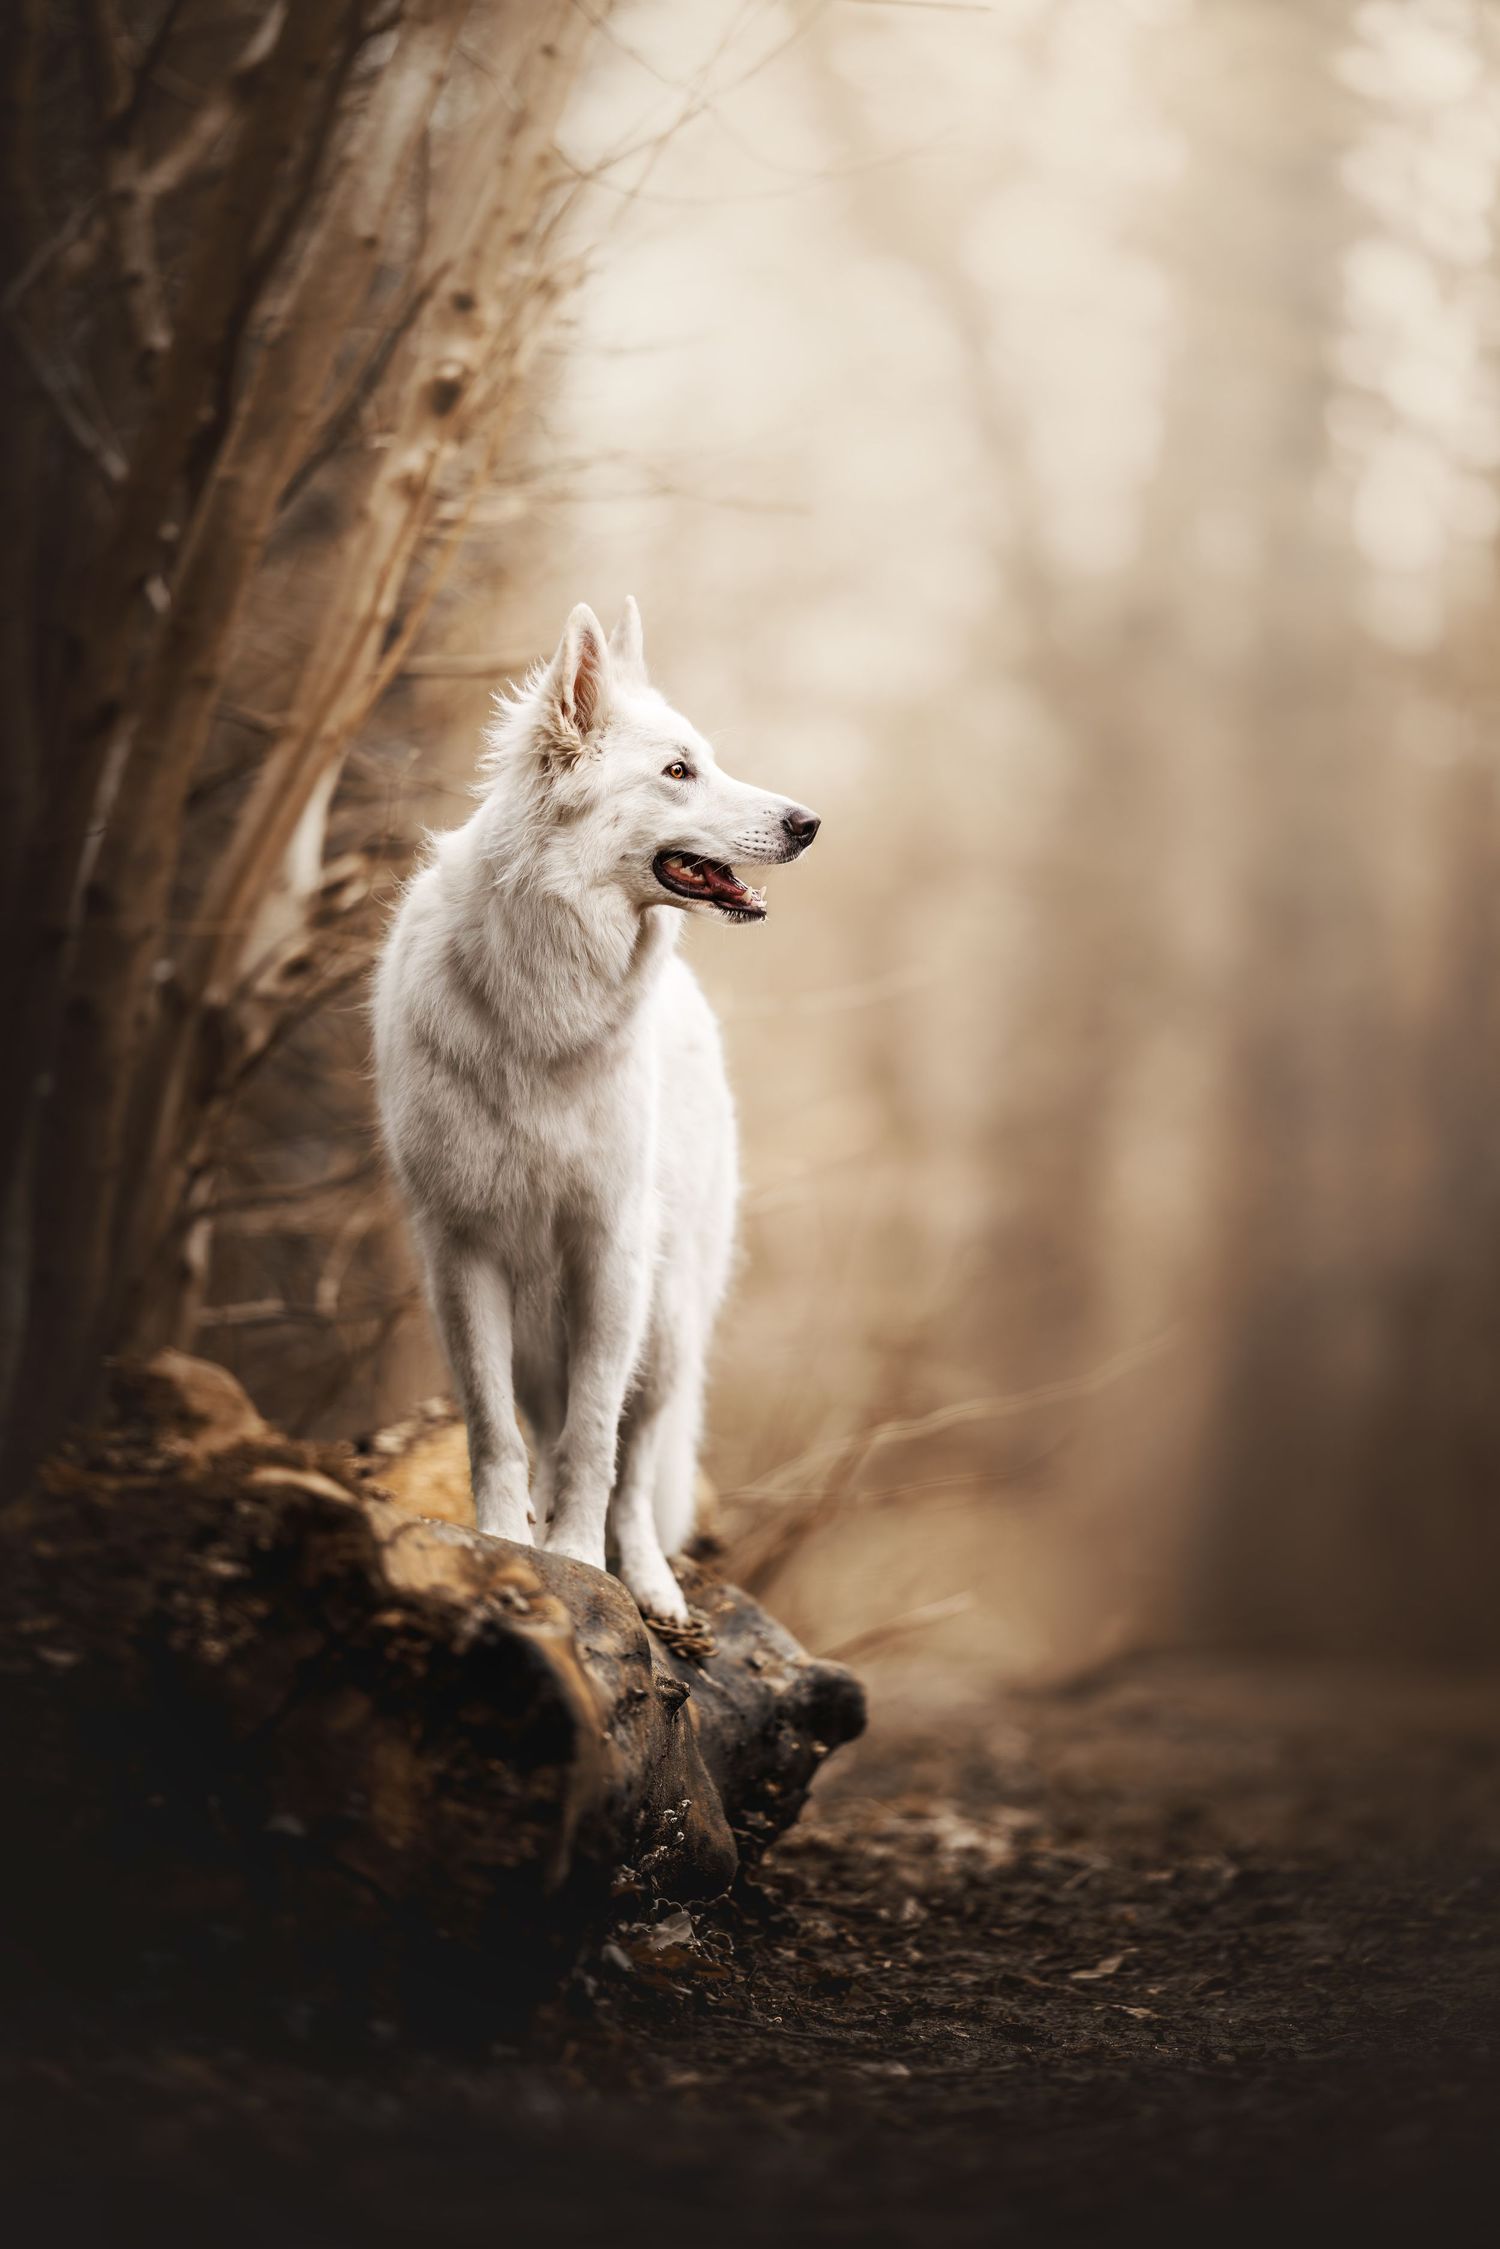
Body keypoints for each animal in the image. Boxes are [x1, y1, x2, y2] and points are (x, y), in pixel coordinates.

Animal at [372, 599, 819, 1623]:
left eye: (706, 759)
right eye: (678, 770)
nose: (809, 822)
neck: (544, 1002)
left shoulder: (607, 1250)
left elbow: (594, 1443)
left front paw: (578, 1559)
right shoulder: (462, 1251)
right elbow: (495, 1430)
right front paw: (509, 1545)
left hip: (667, 1321)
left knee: (639, 1458)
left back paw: (651, 1586)